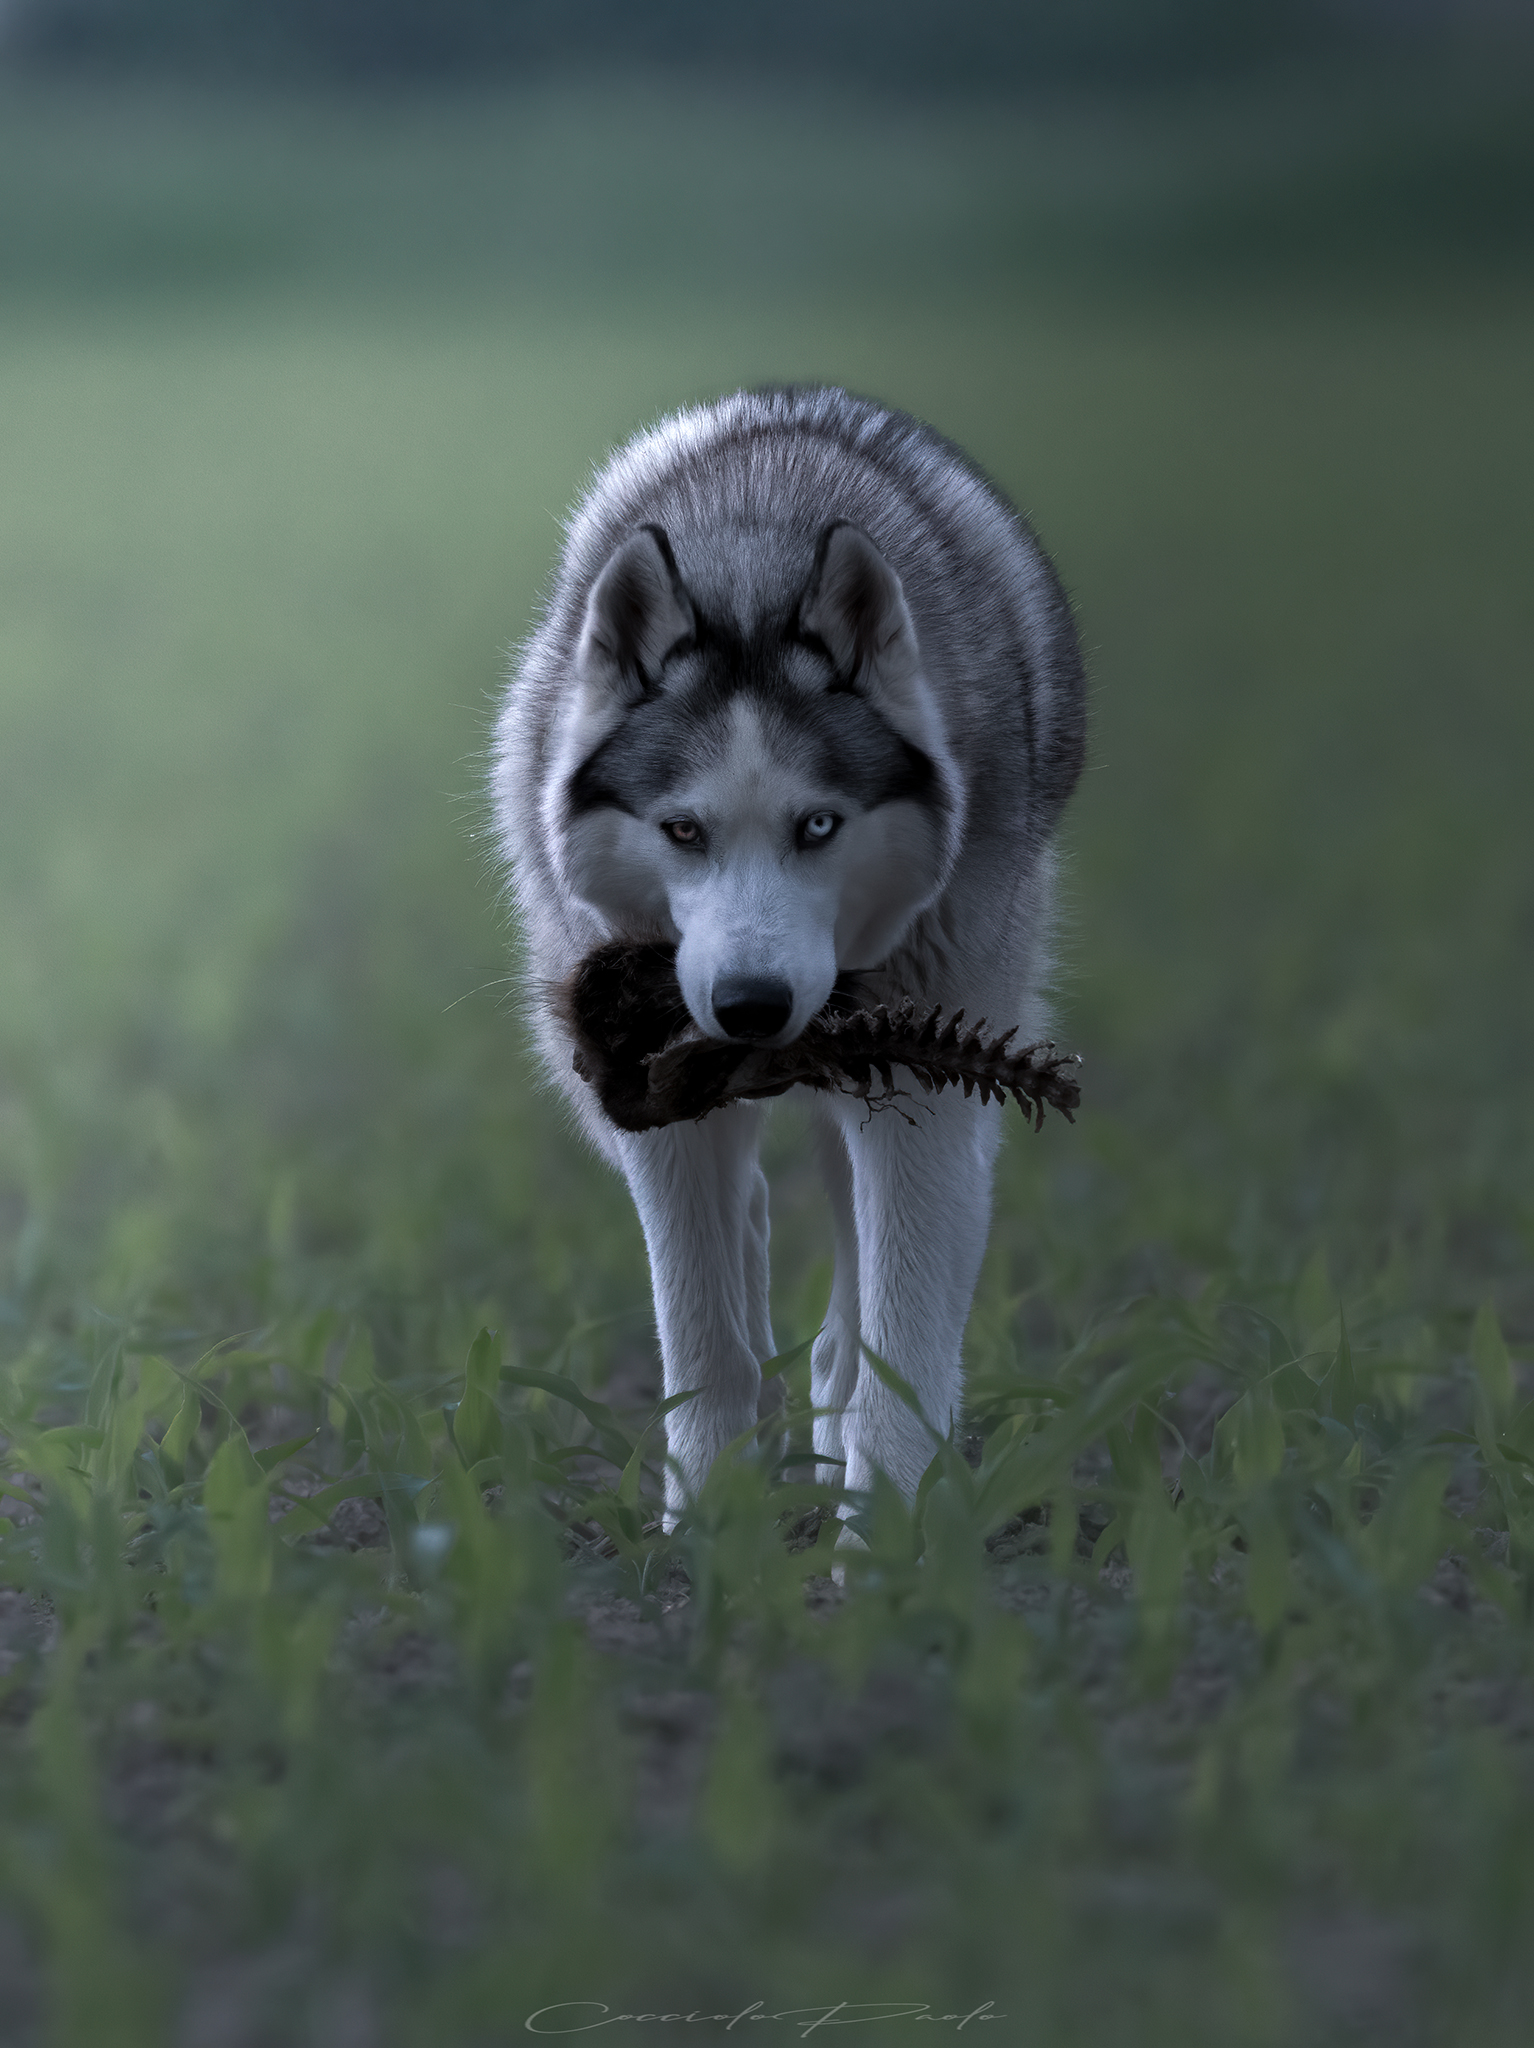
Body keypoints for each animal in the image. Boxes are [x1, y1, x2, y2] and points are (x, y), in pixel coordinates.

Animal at [492, 386, 1084, 1524]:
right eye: (682, 830)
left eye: (819, 826)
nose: (753, 1007)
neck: (751, 571)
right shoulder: (657, 1108)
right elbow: (701, 1334)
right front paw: (710, 1527)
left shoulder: (921, 1087)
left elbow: (898, 1347)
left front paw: (886, 1538)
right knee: (757, 1217)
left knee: (871, 1276)